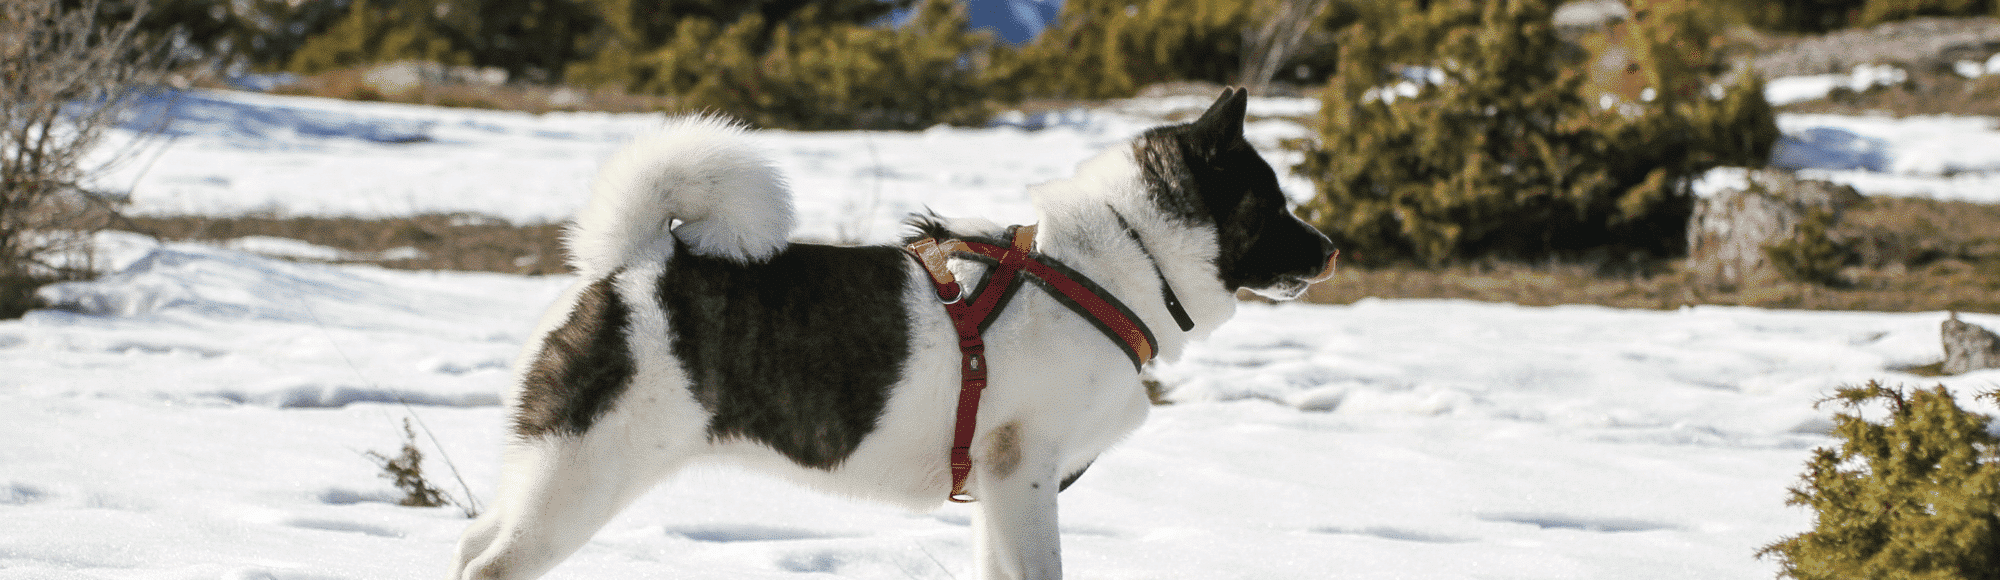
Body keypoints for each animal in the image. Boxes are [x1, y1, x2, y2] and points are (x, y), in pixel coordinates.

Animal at [450, 87, 1328, 580]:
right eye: (1273, 203)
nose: (1330, 249)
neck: (1113, 263)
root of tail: (636, 259)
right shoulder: (1023, 473)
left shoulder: (998, 495)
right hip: (581, 478)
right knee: (491, 568)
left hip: (546, 469)